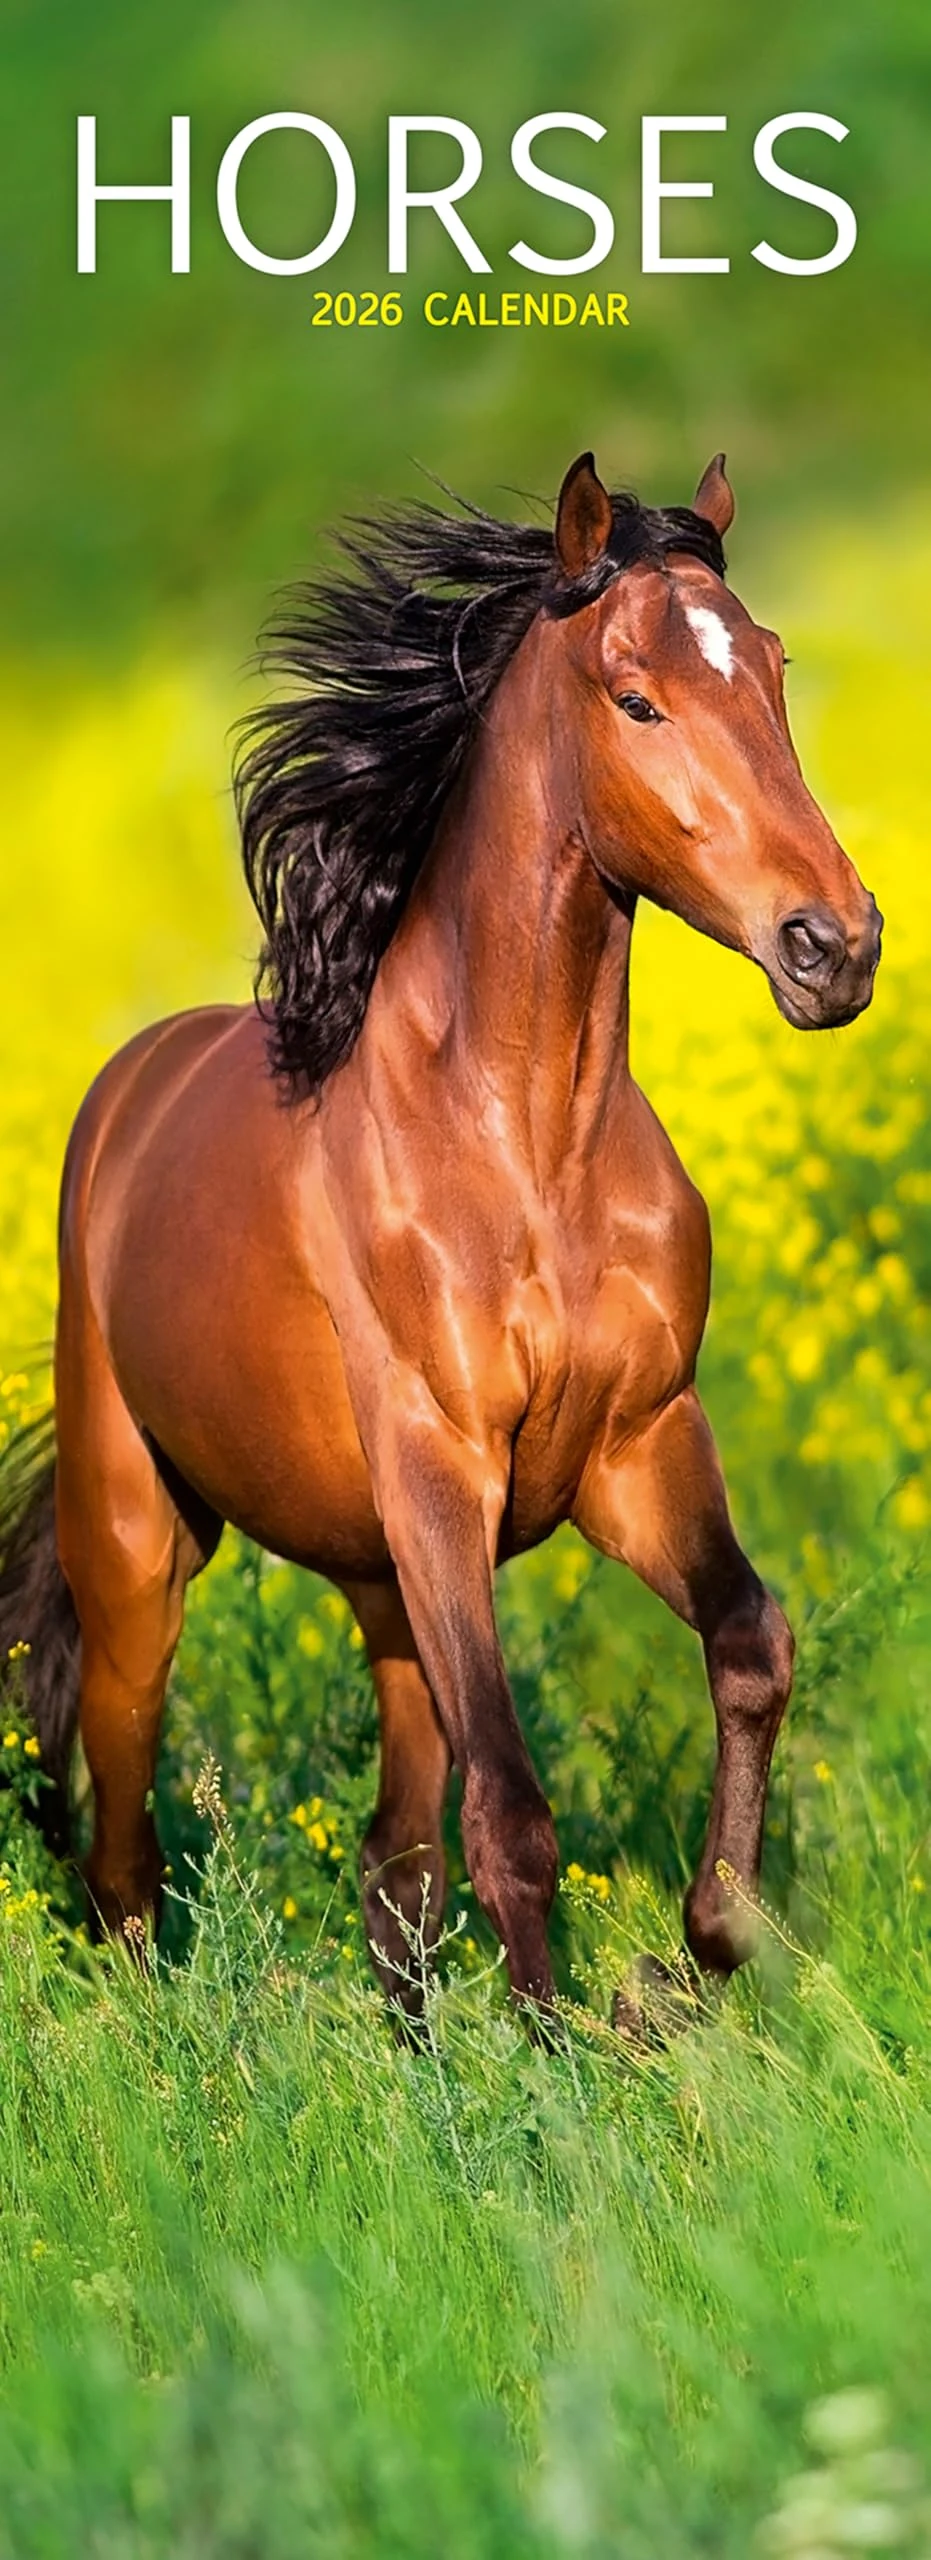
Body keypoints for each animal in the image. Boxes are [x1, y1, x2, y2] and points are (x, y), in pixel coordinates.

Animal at [0, 450, 881, 2021]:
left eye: (772, 668)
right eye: (634, 698)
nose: (830, 947)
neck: (526, 1150)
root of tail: (132, 1086)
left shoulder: (637, 1446)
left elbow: (748, 1647)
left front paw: (688, 1961)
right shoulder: (441, 1471)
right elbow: (513, 1812)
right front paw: (559, 2054)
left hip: (380, 1586)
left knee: (387, 1865)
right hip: (143, 1551)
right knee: (123, 1846)